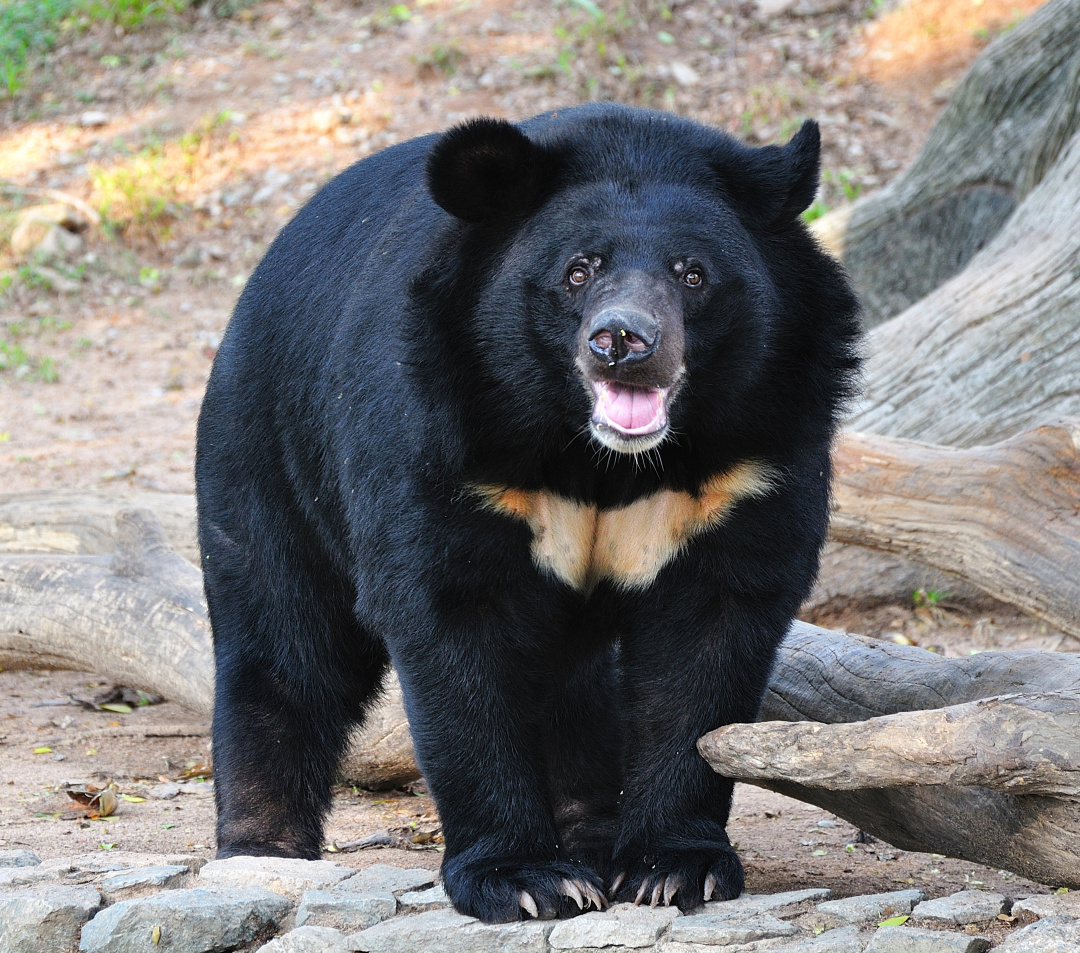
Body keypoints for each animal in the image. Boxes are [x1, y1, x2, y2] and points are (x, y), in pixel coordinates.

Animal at [196, 102, 859, 920]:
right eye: (579, 270)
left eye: (692, 272)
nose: (623, 341)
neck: (601, 458)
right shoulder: (442, 435)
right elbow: (454, 630)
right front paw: (523, 878)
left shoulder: (751, 460)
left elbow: (707, 645)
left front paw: (673, 867)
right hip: (268, 446)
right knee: (285, 639)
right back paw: (263, 847)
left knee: (576, 690)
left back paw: (591, 836)